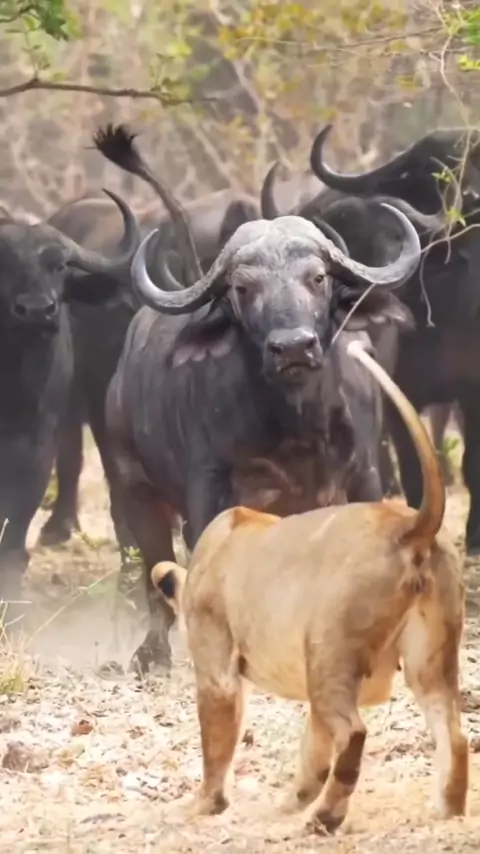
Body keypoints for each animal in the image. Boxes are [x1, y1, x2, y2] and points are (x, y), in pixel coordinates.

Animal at [105, 200, 422, 674]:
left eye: (318, 277)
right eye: (243, 287)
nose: (292, 347)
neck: (296, 426)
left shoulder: (363, 476)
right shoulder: (211, 494)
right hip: (136, 492)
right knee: (154, 578)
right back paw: (152, 653)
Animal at [303, 124, 480, 555]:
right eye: (434, 169)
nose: (471, 197)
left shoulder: (473, 389)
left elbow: (472, 464)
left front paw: (474, 539)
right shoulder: (399, 396)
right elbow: (416, 471)